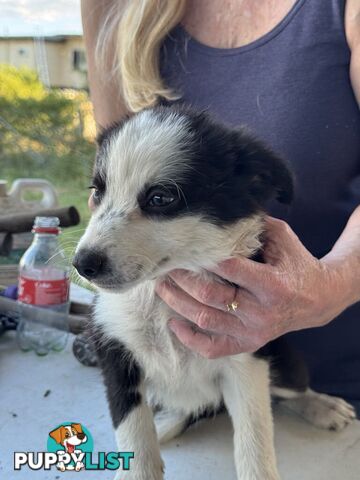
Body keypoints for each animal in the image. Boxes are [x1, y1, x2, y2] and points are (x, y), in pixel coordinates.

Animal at [74, 107, 356, 480]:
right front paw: (139, 467)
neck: (159, 298)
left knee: (292, 389)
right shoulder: (115, 355)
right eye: (97, 192)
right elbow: (134, 431)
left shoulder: (246, 357)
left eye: (160, 198)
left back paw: (322, 405)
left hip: (280, 354)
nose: (82, 264)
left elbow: (254, 439)